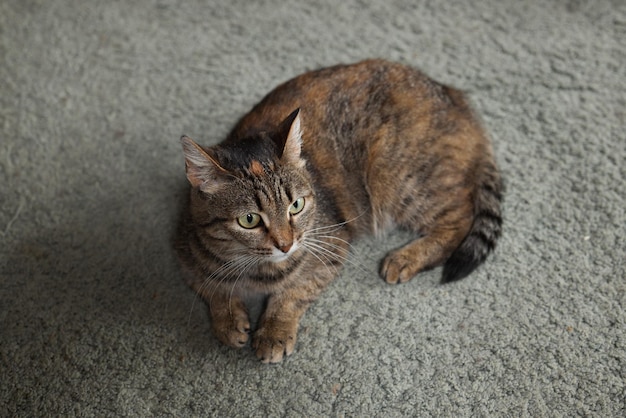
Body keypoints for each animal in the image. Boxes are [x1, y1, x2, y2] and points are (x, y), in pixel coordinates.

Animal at [176, 58, 502, 362]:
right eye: (249, 220)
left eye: (296, 205)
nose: (286, 244)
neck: (258, 272)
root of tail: (453, 95)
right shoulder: (185, 254)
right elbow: (212, 287)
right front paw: (228, 320)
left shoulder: (329, 246)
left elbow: (293, 293)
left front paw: (273, 331)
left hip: (398, 178)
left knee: (460, 218)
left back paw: (405, 257)